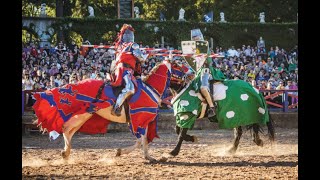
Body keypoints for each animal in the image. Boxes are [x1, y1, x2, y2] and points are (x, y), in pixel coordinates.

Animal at [33, 59, 172, 161]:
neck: (150, 88)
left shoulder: (143, 121)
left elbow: (144, 141)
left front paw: (148, 156)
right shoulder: (138, 120)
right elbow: (140, 141)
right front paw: (120, 152)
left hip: (85, 114)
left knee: (69, 130)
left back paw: (66, 153)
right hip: (83, 114)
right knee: (66, 128)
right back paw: (66, 152)